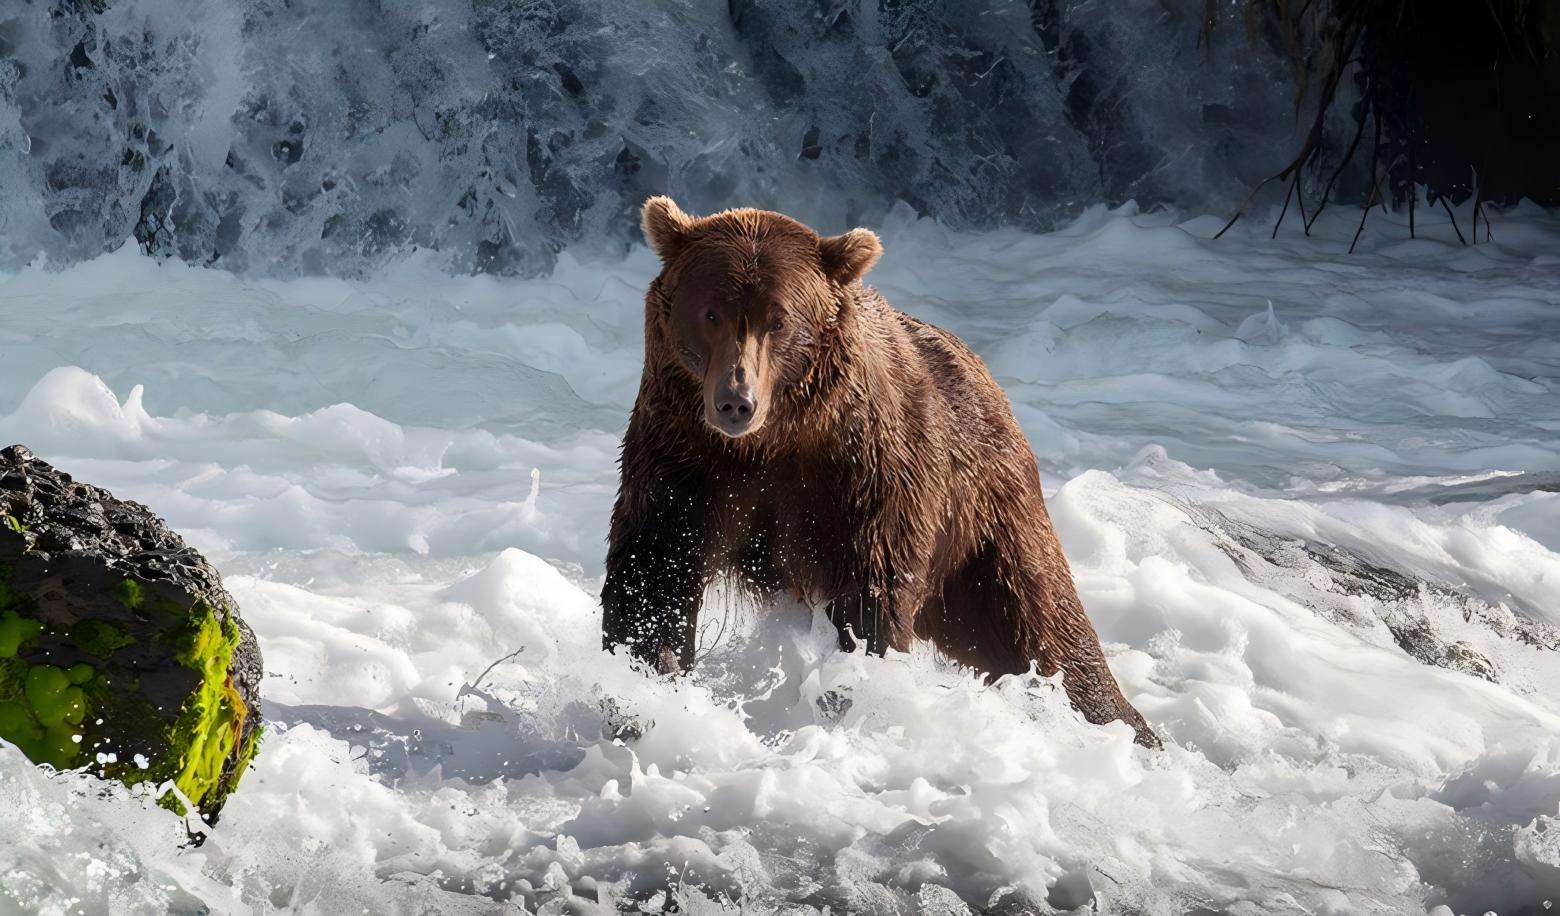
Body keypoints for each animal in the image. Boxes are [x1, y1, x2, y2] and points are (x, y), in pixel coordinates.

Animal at [602, 197, 1158, 748]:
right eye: (710, 312)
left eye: (778, 320)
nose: (735, 401)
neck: (773, 440)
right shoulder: (686, 459)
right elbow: (654, 570)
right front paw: (640, 694)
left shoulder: (864, 473)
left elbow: (870, 595)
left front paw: (855, 694)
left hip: (985, 519)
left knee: (1041, 623)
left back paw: (1125, 726)